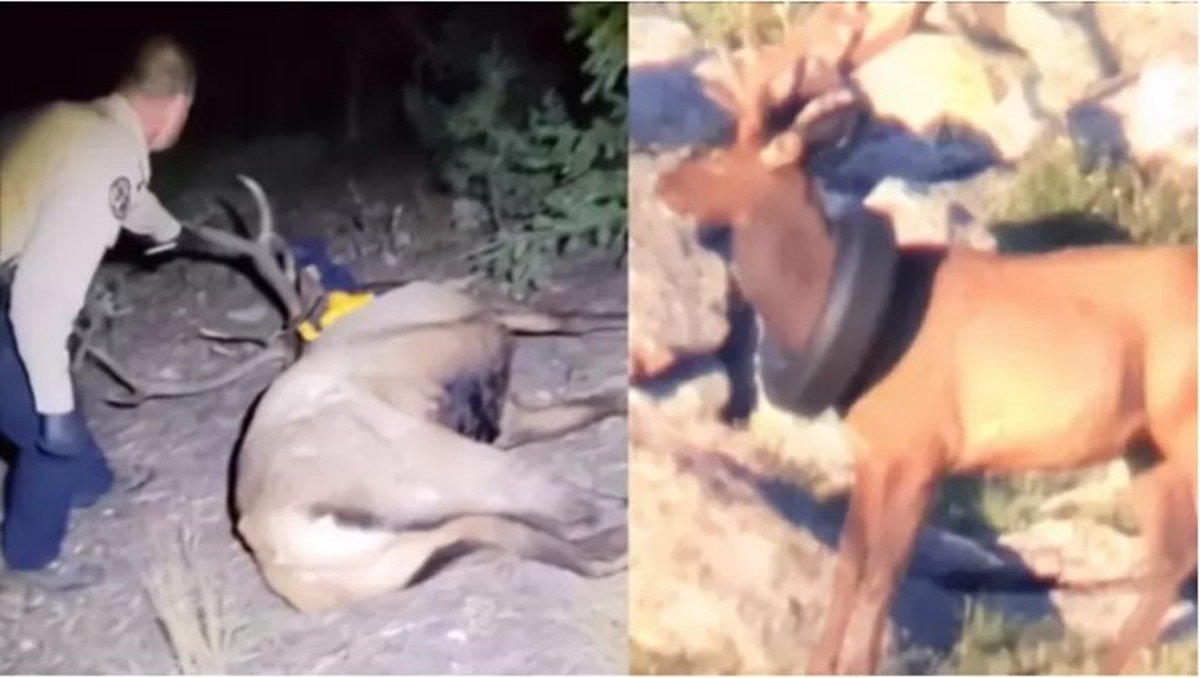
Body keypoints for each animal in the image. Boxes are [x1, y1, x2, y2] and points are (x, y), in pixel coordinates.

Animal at [88, 175, 629, 613]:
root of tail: (283, 541)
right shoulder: (480, 325)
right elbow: (572, 319)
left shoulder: (506, 414)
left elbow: (596, 399)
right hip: (444, 466)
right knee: (582, 511)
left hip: (411, 550)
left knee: (569, 545)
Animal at [653, 12, 1197, 675]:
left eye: (727, 156)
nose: (665, 181)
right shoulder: (872, 448)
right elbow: (849, 564)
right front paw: (820, 664)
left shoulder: (925, 446)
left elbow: (884, 574)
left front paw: (861, 664)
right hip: (1144, 442)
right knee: (1170, 557)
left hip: (1184, 423)